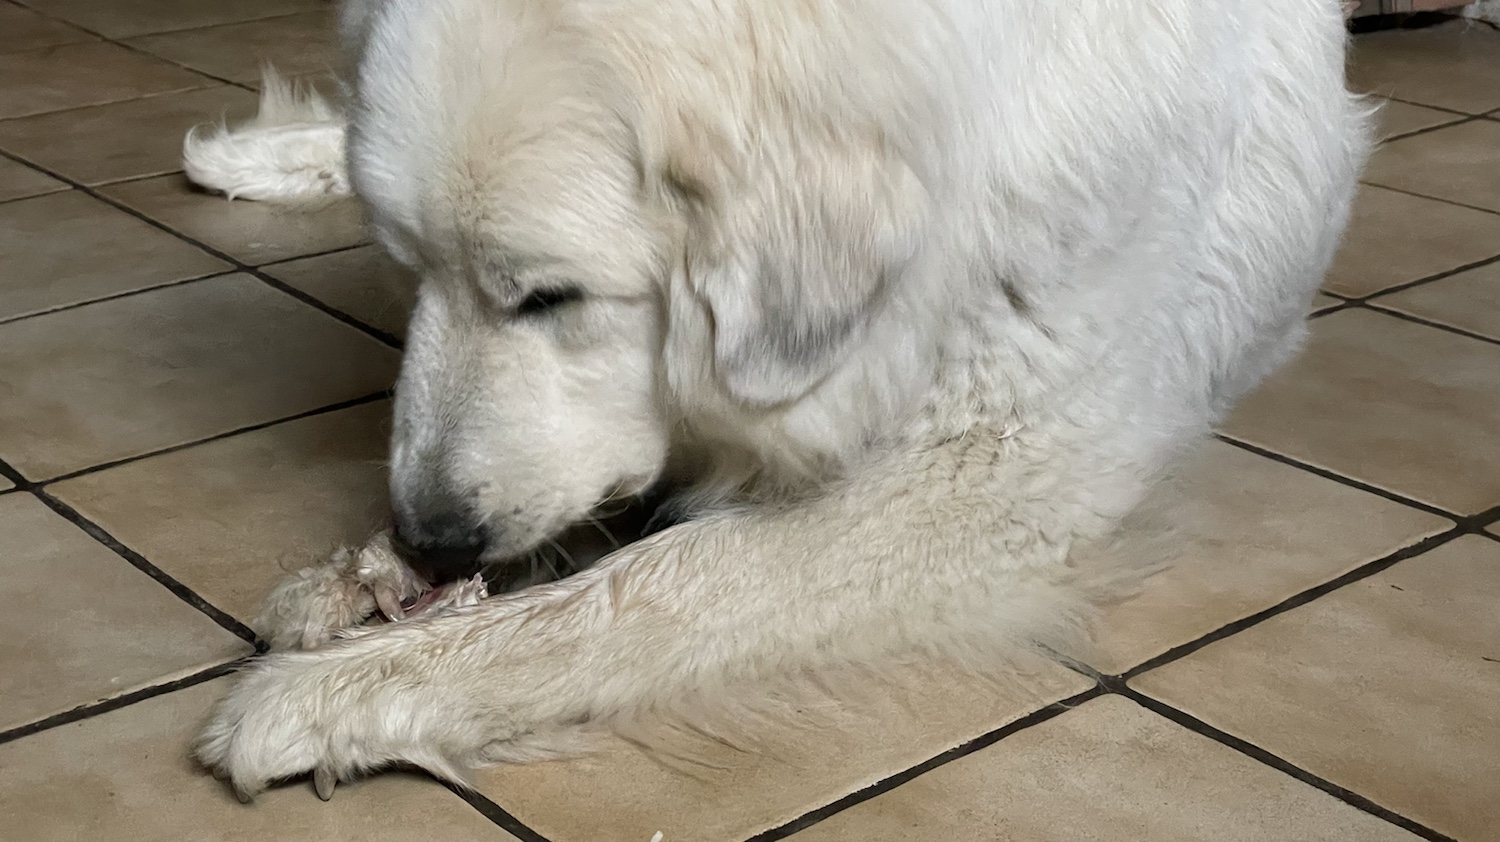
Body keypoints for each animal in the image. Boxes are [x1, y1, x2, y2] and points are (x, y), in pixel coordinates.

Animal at [183, 0, 1371, 801]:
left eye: (550, 296)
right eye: (408, 276)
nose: (430, 535)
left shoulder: (994, 481)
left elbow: (654, 586)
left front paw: (336, 688)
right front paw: (361, 579)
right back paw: (250, 153)